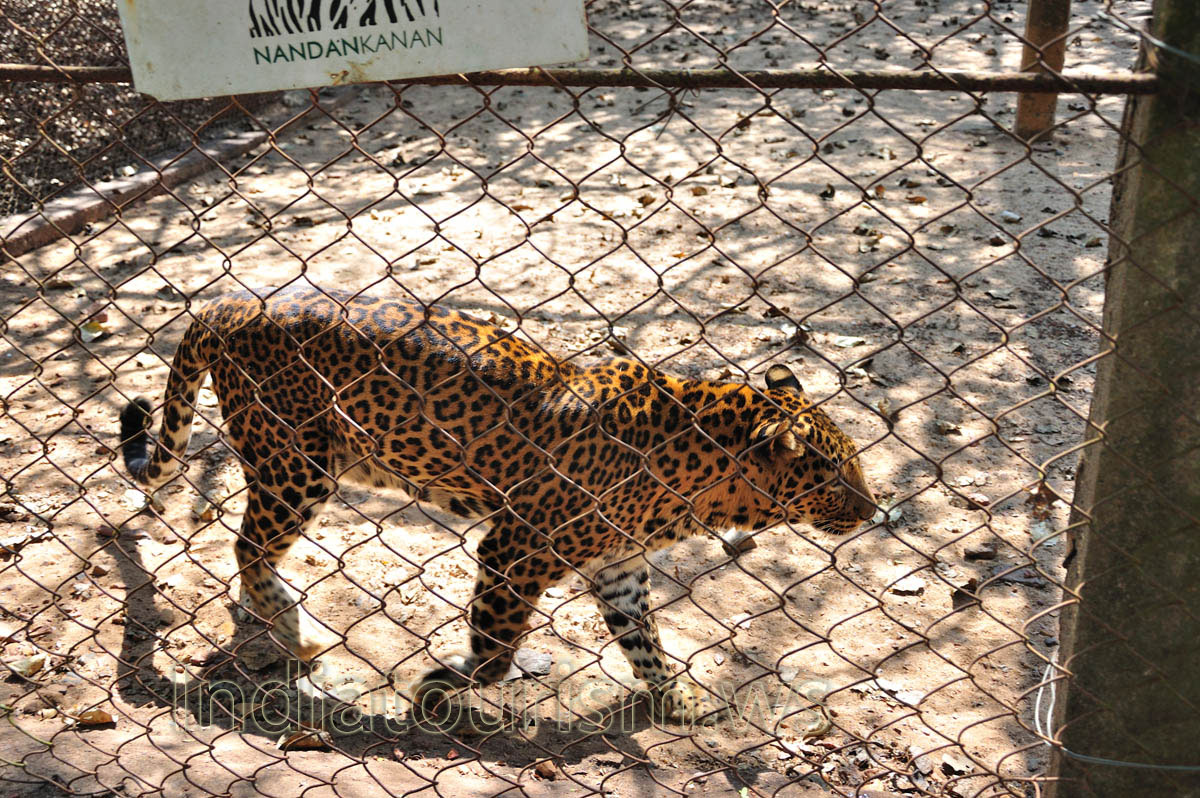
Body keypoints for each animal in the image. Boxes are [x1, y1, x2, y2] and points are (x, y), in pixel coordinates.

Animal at [119, 283, 875, 725]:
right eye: (838, 474)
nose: (874, 511)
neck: (701, 480)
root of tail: (230, 305)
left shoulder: (619, 566)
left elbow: (645, 643)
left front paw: (678, 700)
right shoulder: (516, 549)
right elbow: (496, 653)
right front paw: (440, 682)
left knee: (250, 551)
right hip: (295, 466)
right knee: (247, 545)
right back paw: (299, 633)